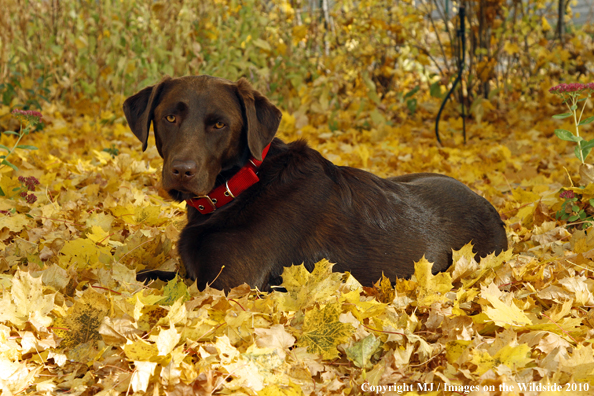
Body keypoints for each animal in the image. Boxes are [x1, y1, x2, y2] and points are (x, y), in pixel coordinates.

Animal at [122, 75, 506, 290]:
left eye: (219, 125)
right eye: (170, 117)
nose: (181, 170)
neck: (240, 188)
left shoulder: (226, 285)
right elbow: (145, 274)